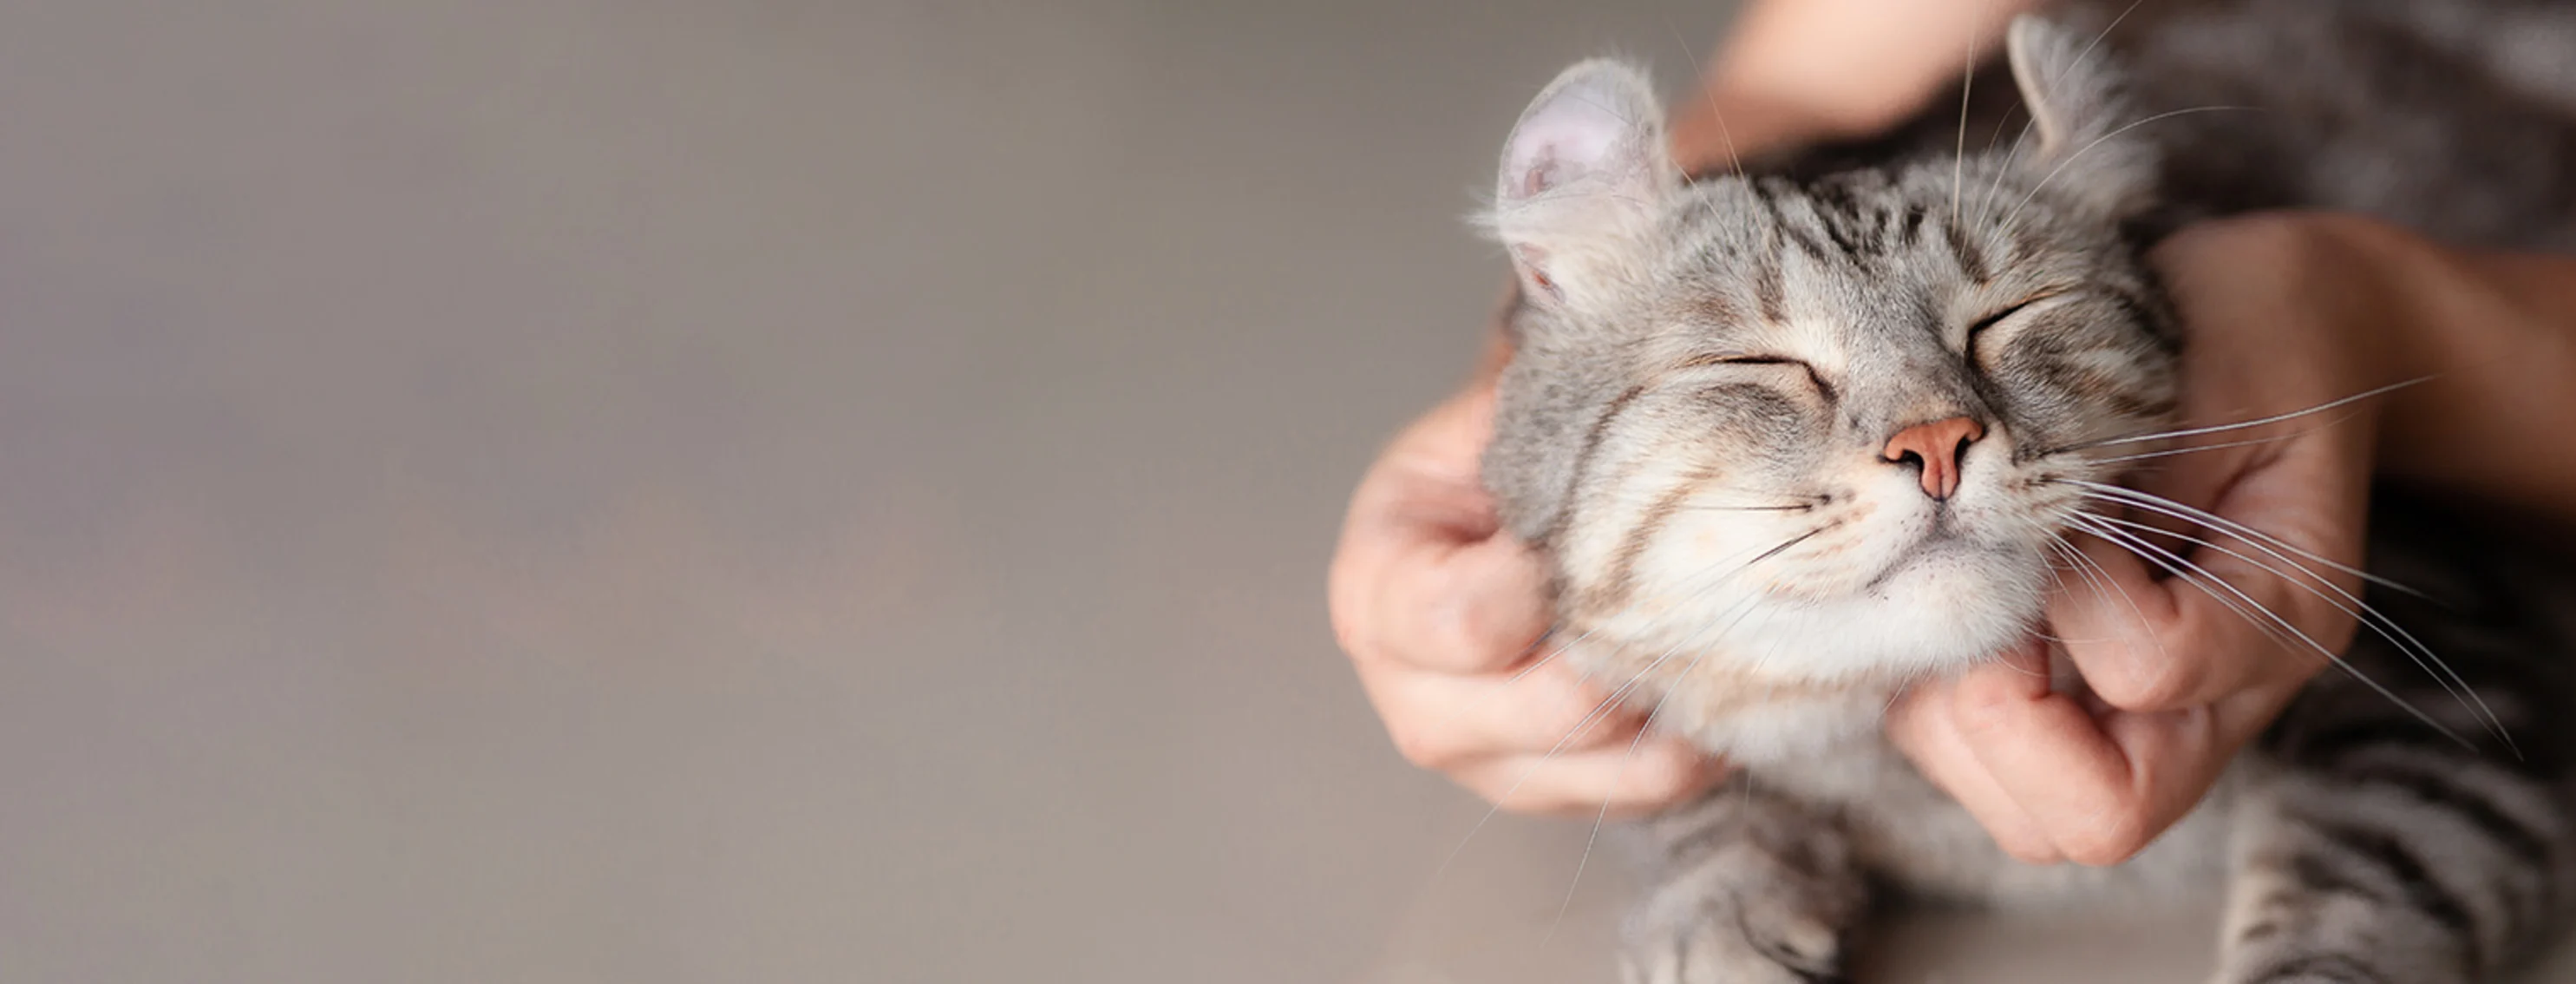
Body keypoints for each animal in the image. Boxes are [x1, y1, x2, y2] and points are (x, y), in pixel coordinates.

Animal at [1483, 2, 2576, 984]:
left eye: (2008, 317)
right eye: (1762, 364)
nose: (1935, 442)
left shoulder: (2455, 698)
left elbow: (2354, 896)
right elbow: (1684, 796)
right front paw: (1722, 905)